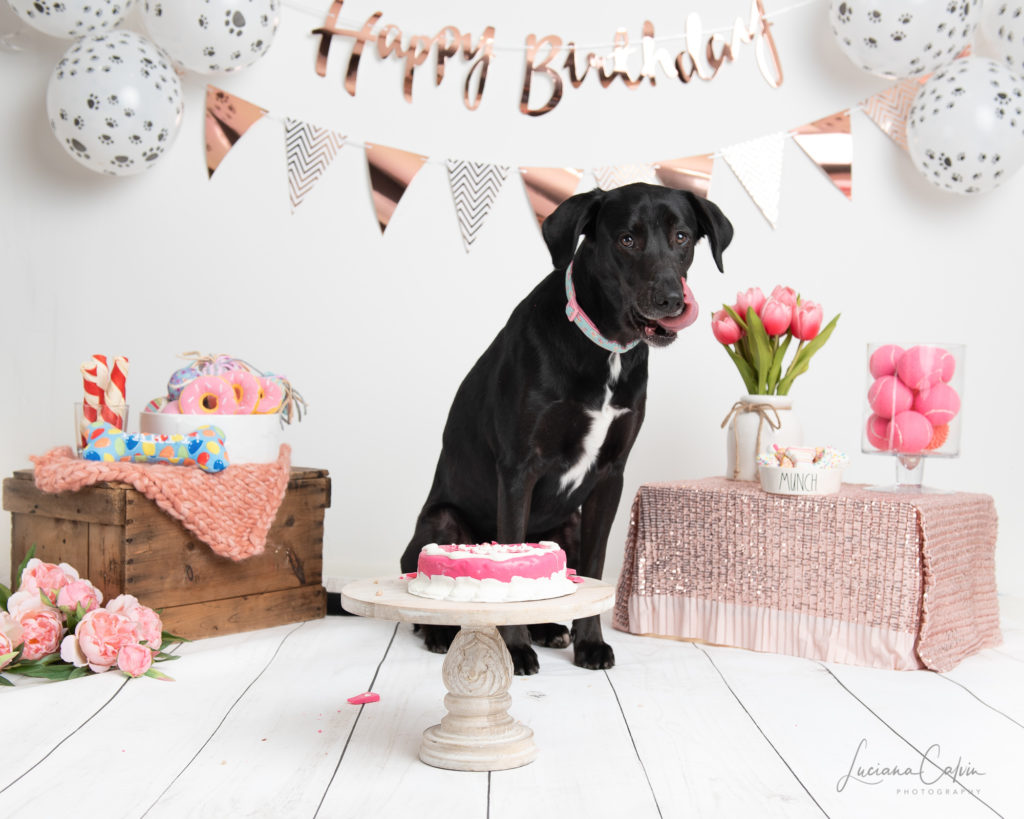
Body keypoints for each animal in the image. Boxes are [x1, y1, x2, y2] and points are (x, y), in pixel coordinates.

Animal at [399, 184, 729, 671]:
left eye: (682, 237)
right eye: (626, 240)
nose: (673, 300)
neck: (605, 347)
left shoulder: (611, 476)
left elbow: (593, 569)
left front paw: (589, 642)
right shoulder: (519, 469)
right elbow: (511, 557)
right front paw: (515, 649)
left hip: (567, 526)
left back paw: (550, 628)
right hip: (442, 521)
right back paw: (444, 633)